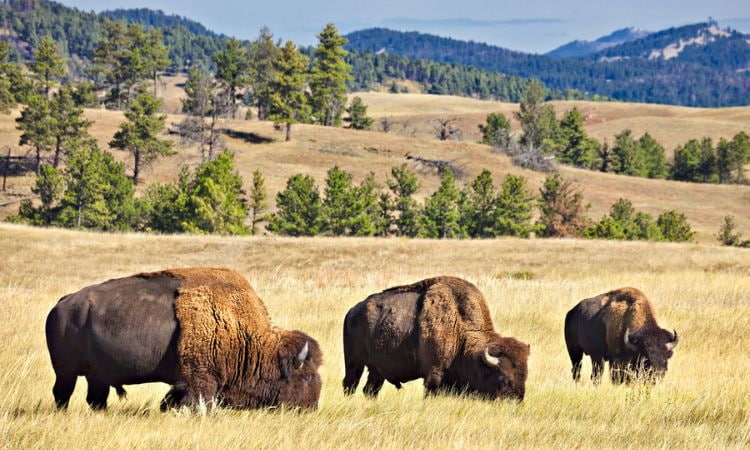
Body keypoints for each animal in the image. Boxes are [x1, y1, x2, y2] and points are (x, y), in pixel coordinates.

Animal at [46, 268, 324, 412]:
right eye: (305, 377)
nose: (311, 407)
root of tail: (62, 304)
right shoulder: (200, 380)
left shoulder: (183, 383)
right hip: (65, 371)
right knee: (62, 394)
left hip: (97, 376)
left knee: (96, 398)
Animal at [344, 278, 532, 400]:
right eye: (503, 377)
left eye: (524, 376)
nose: (517, 400)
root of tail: (353, 310)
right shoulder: (434, 373)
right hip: (354, 363)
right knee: (350, 384)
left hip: (376, 369)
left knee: (370, 389)